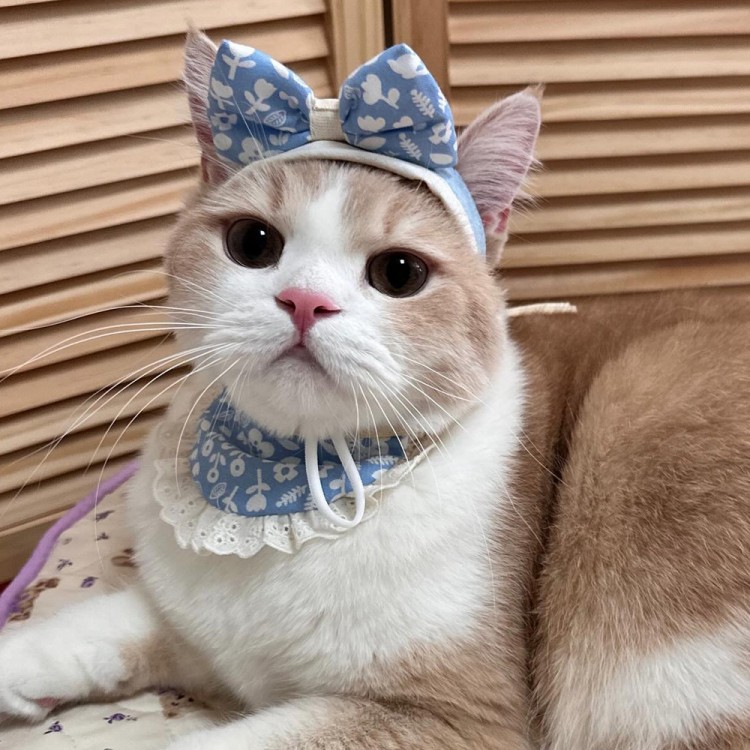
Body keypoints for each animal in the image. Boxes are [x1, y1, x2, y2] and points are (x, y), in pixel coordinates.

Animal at [1, 29, 750, 750]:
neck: (283, 492)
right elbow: (114, 620)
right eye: (253, 242)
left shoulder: (453, 717)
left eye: (399, 273)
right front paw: (21, 662)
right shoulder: (201, 633)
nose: (305, 301)